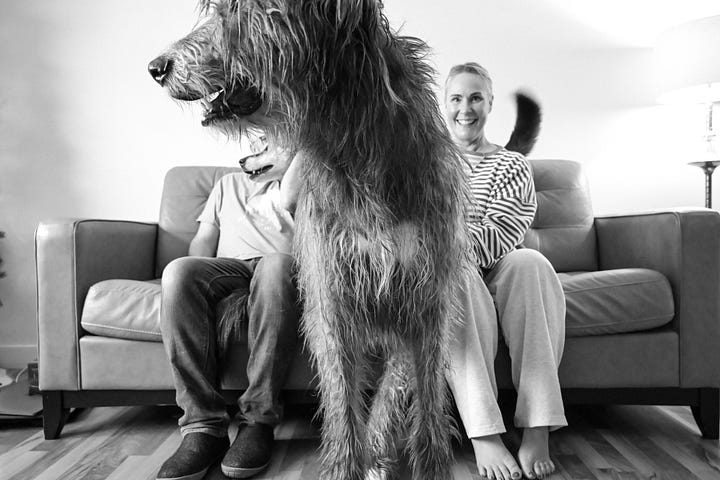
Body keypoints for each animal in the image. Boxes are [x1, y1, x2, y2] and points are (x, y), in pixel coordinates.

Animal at [149, 1, 536, 478]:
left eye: (240, 11)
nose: (156, 67)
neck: (358, 153)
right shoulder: (333, 296)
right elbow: (344, 405)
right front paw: (352, 461)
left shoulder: (426, 299)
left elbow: (426, 410)